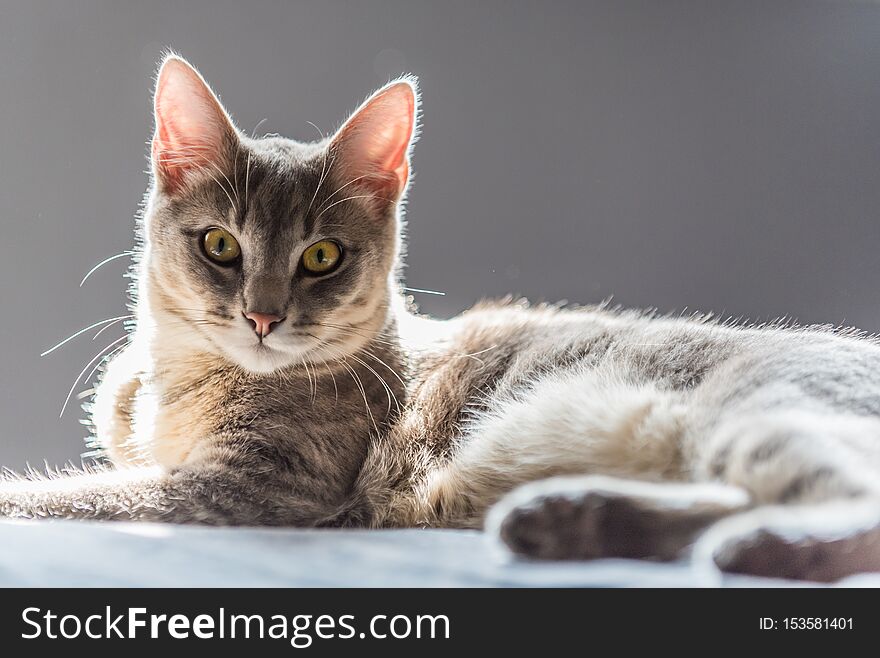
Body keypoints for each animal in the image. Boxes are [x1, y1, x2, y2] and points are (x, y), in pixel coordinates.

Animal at [1, 55, 880, 580]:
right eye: (220, 244)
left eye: (322, 257)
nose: (262, 317)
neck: (178, 384)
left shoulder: (253, 487)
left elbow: (64, 496)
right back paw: (569, 519)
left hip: (758, 412)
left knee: (839, 503)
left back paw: (757, 546)